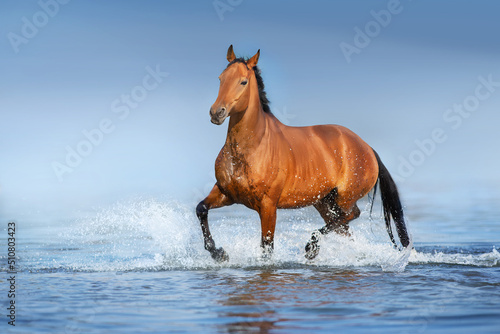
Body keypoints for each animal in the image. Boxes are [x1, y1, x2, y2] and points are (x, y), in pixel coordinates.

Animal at [195, 45, 410, 262]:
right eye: (221, 78)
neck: (250, 150)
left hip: (344, 199)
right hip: (325, 202)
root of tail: (367, 148)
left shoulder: (268, 206)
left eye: (243, 81)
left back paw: (311, 247)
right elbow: (201, 209)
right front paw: (219, 253)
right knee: (343, 228)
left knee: (350, 215)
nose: (216, 113)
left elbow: (267, 248)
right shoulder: (225, 193)